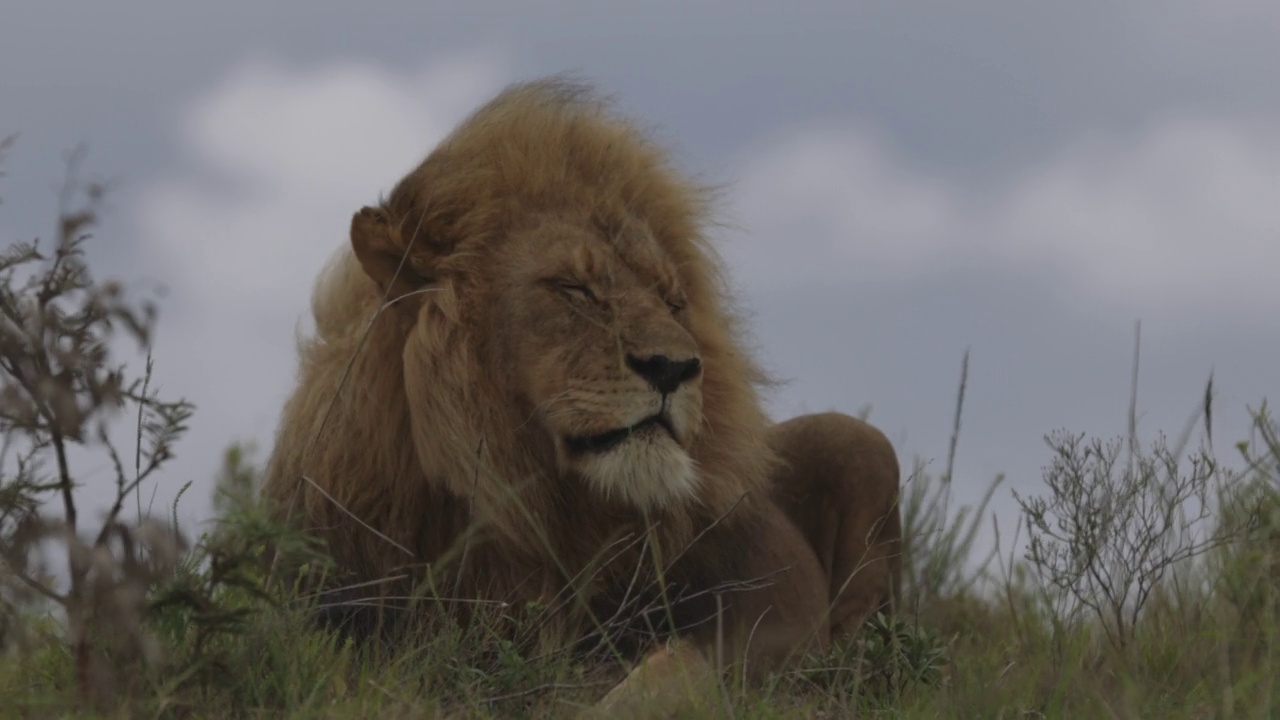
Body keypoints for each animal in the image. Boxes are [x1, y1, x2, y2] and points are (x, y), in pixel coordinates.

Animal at [259, 77, 901, 696]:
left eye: (672, 301)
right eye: (575, 289)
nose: (674, 368)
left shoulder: (734, 629)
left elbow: (673, 671)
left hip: (862, 443)